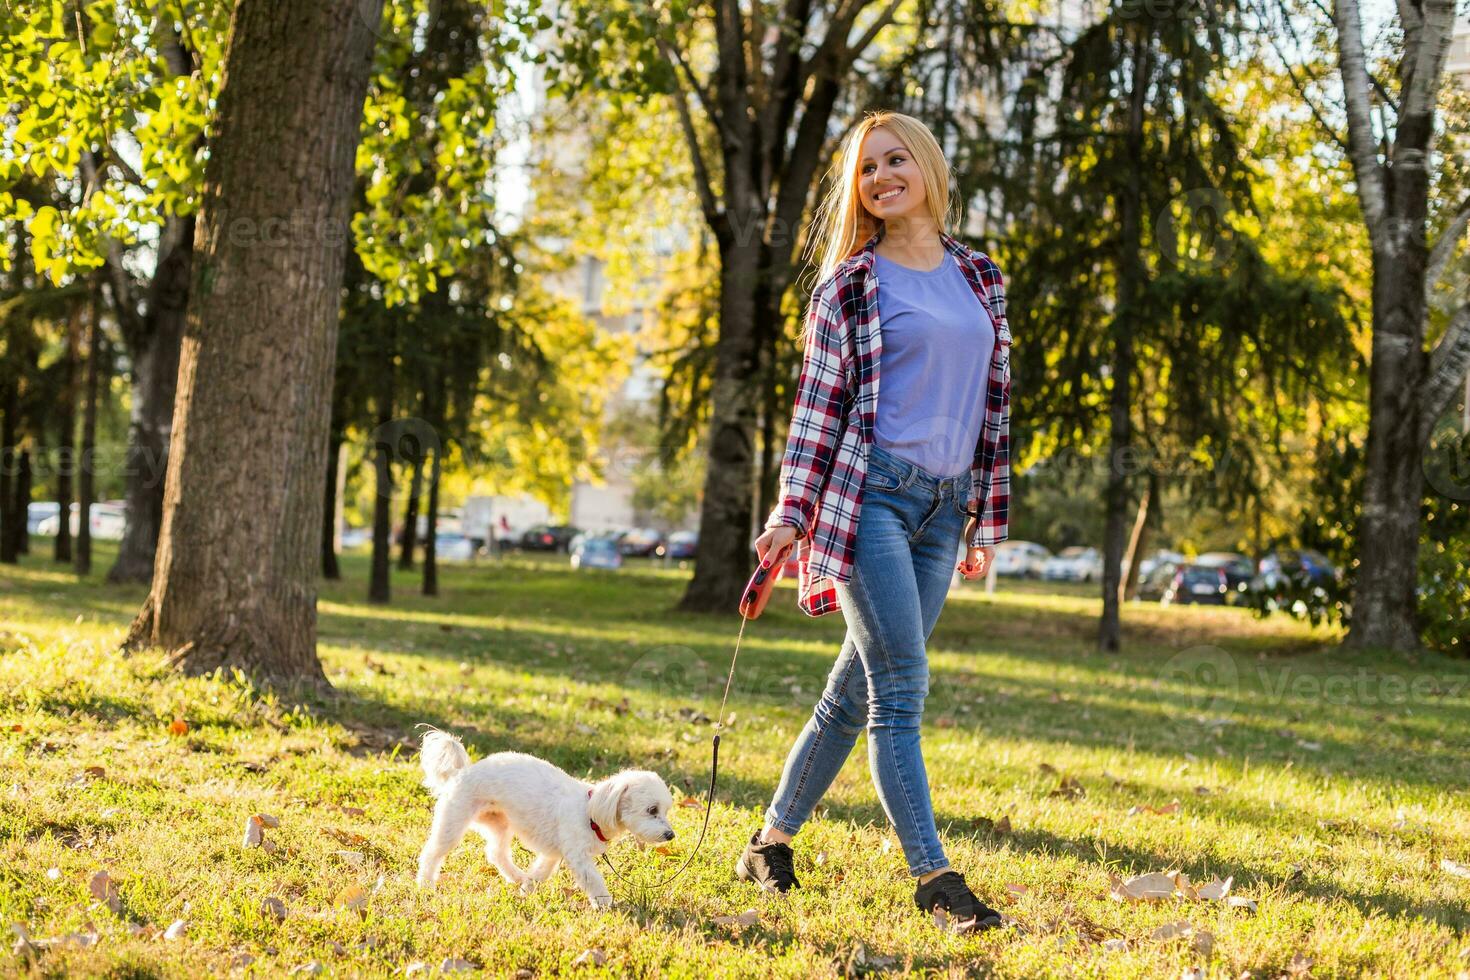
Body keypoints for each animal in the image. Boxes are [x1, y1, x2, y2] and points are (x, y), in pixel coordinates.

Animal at [414, 731, 676, 910]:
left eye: (666, 810)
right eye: (652, 810)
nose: (670, 835)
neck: (590, 813)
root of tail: (461, 773)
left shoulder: (553, 854)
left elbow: (541, 872)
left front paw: (527, 888)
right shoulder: (577, 856)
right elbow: (593, 879)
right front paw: (604, 903)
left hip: (499, 823)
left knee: (496, 853)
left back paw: (516, 876)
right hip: (454, 820)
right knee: (432, 853)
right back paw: (425, 885)